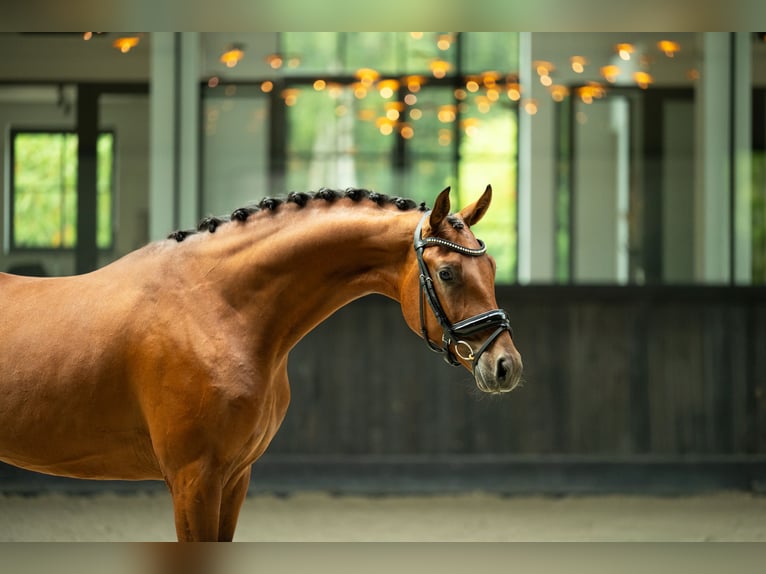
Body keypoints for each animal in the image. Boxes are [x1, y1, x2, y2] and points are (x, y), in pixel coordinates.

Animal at [0, 185, 522, 541]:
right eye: (448, 272)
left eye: (492, 267)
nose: (506, 366)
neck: (215, 307)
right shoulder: (193, 479)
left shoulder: (234, 477)